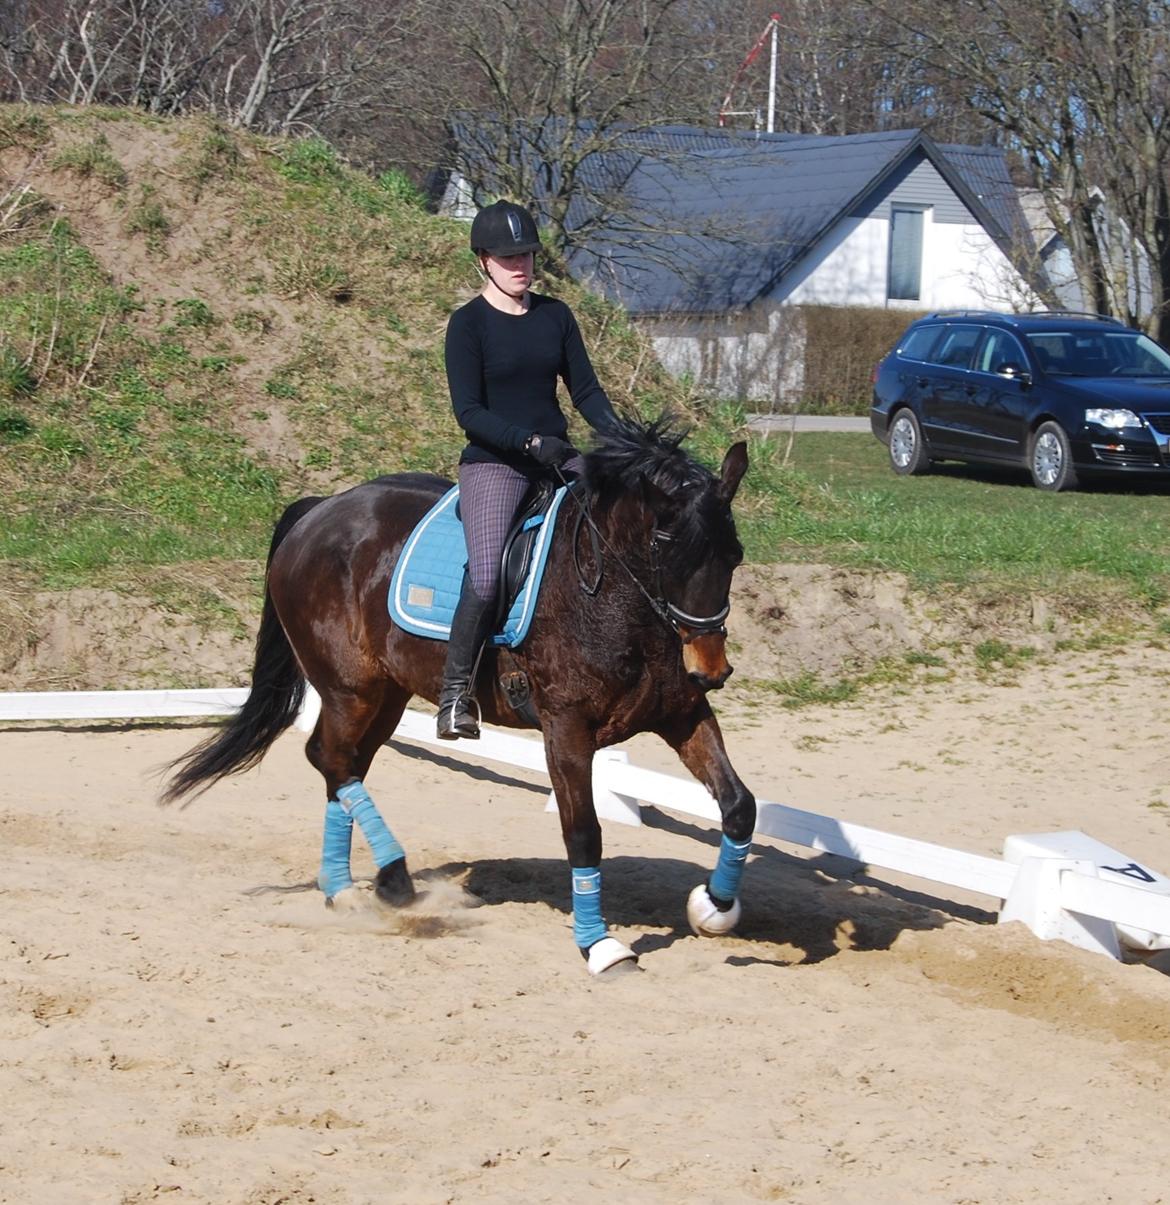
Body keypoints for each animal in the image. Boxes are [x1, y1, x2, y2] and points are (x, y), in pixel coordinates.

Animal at [160, 419, 756, 973]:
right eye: (666, 550)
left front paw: (716, 906)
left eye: (734, 555)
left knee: (343, 764)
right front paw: (600, 946)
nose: (710, 669)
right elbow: (584, 834)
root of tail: (320, 509)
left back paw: (344, 889)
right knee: (329, 756)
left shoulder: (682, 713)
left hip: (387, 694)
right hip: (350, 688)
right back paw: (393, 876)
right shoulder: (565, 728)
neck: (611, 596)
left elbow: (739, 806)